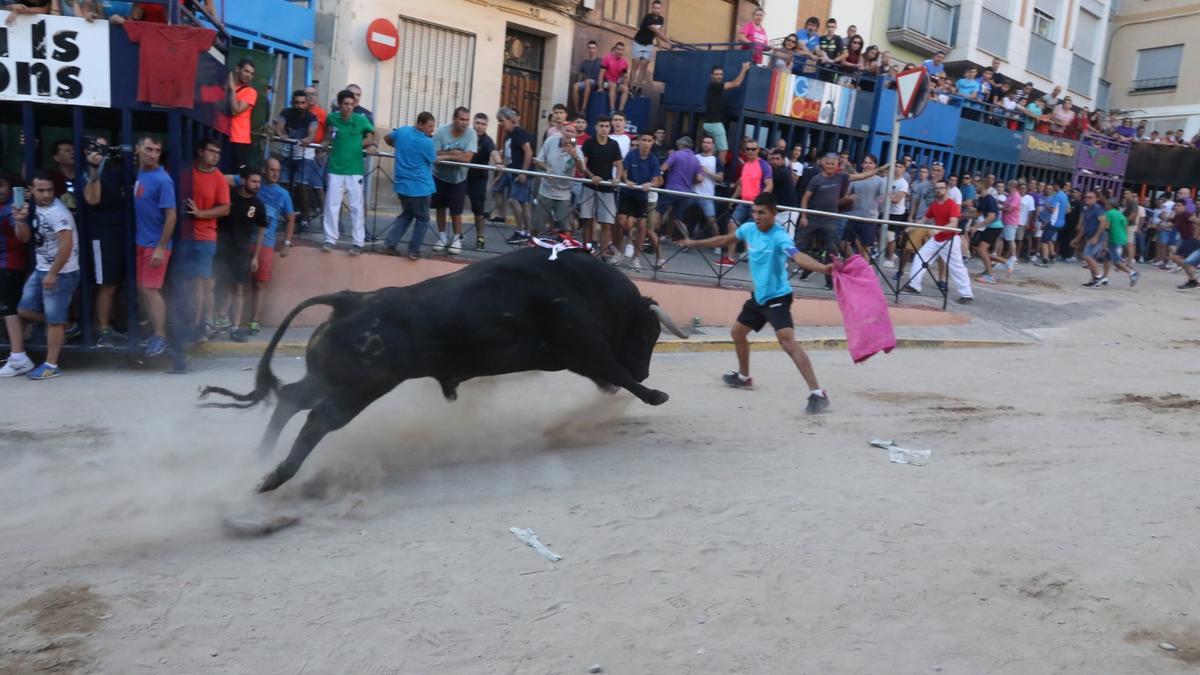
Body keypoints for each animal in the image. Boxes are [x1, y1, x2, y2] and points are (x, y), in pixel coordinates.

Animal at [196, 247, 686, 487]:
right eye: (649, 335)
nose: (647, 371)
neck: (583, 284)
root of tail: (352, 299)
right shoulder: (583, 345)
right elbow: (616, 372)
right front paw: (655, 393)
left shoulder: (578, 356)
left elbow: (610, 375)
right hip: (357, 390)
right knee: (316, 420)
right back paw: (274, 477)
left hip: (329, 378)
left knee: (291, 399)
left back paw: (260, 458)